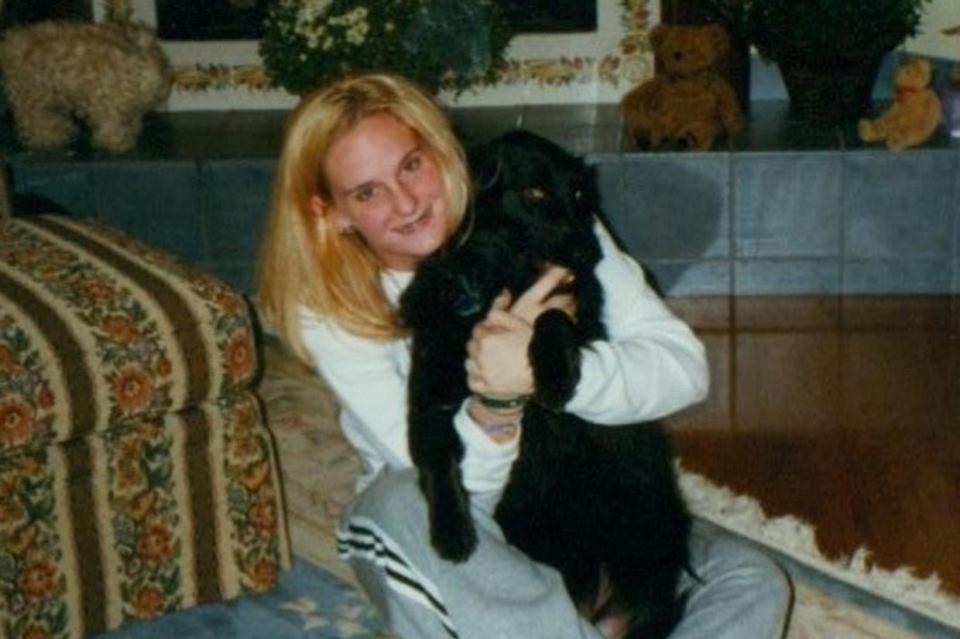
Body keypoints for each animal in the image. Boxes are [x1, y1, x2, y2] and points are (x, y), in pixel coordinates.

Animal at [398, 130, 688, 639]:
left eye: (579, 195)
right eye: (533, 192)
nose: (592, 253)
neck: (502, 279)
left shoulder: (569, 314)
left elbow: (553, 317)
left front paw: (553, 374)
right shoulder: (429, 397)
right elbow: (436, 459)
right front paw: (451, 530)